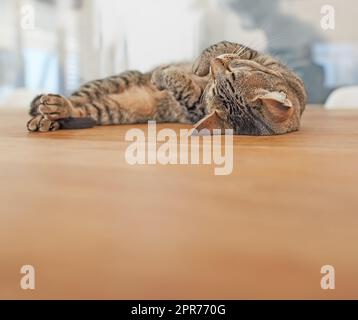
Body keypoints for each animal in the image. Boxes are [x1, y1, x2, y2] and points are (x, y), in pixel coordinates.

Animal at [27, 41, 308, 135]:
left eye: (226, 79)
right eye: (232, 73)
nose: (213, 67)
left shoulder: (193, 105)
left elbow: (179, 83)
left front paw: (166, 74)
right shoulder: (261, 58)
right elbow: (225, 44)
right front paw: (199, 63)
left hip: (107, 110)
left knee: (78, 109)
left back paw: (53, 114)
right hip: (111, 82)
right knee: (72, 100)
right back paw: (45, 116)